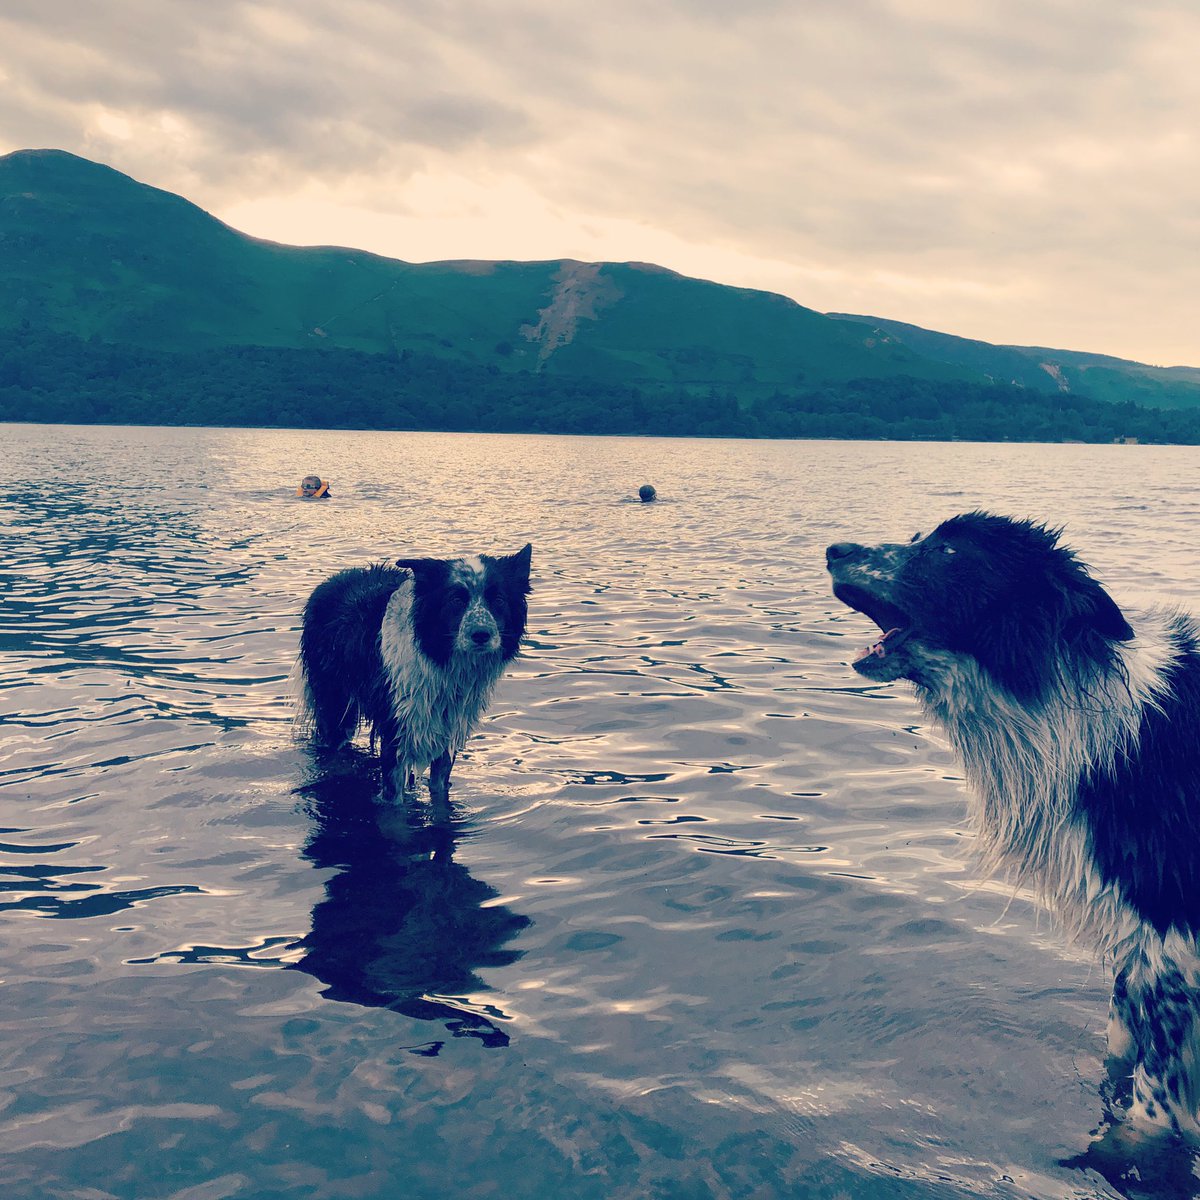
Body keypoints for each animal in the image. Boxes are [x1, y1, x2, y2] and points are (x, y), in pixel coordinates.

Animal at [297, 549, 532, 801]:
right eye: (456, 600)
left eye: (498, 600)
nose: (481, 634)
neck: (437, 660)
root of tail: (328, 584)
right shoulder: (396, 730)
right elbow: (394, 800)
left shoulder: (449, 731)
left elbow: (439, 789)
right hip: (335, 705)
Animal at [830, 513, 1200, 1132]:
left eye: (948, 551)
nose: (833, 549)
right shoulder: (1137, 947)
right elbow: (1117, 1060)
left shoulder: (1172, 947)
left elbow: (1152, 1108)